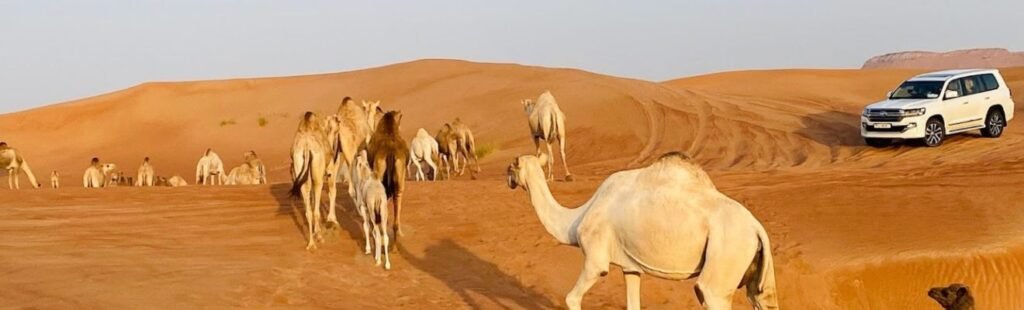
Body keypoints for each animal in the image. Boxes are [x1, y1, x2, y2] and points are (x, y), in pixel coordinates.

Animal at [290, 111, 329, 250]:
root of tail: (307, 148)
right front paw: (318, 233)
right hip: (317, 177)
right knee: (315, 210)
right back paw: (319, 238)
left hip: (300, 168)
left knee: (308, 211)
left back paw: (311, 244)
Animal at [507, 153, 778, 310]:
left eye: (512, 166)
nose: (506, 178)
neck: (575, 220)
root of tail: (757, 228)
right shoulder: (631, 267)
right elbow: (632, 303)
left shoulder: (595, 258)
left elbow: (572, 298)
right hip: (756, 271)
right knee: (763, 299)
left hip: (723, 263)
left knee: (709, 291)